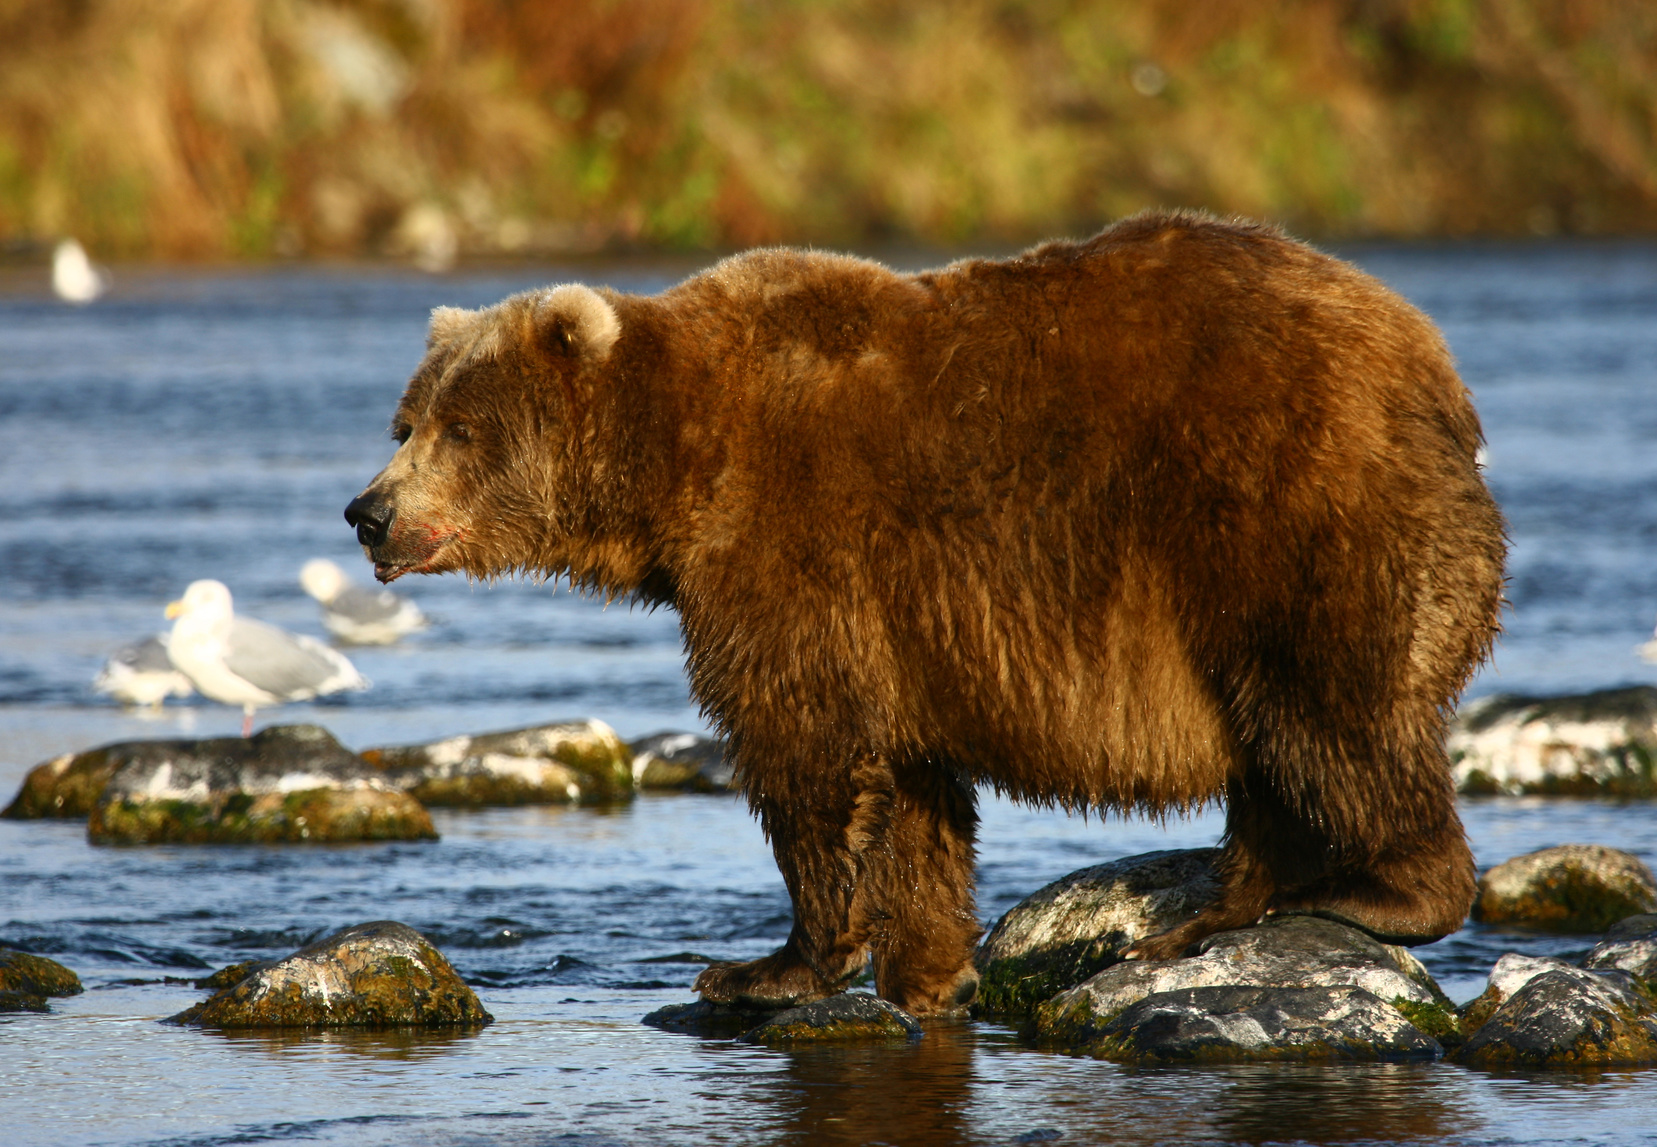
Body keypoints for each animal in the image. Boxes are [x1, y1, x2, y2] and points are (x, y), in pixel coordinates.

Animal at [346, 210, 1504, 1014]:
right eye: (404, 420)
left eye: (456, 427)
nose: (368, 512)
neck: (672, 469)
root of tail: (1433, 368)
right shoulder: (898, 621)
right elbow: (910, 788)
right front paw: (928, 970)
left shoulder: (788, 540)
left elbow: (803, 748)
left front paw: (766, 965)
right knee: (1277, 748)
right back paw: (1203, 919)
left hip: (1280, 514)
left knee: (1330, 710)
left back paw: (1372, 892)